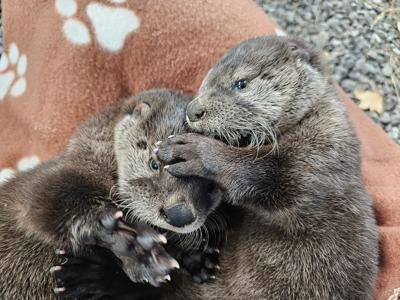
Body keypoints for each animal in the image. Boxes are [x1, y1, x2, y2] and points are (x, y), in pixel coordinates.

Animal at [0, 89, 223, 300]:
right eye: (154, 163)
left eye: (211, 186)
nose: (179, 215)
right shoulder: (61, 177)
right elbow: (52, 201)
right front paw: (131, 244)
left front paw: (198, 258)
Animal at [155, 37, 380, 300]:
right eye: (203, 83)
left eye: (241, 83)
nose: (193, 111)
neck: (309, 118)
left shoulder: (323, 154)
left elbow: (270, 175)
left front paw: (194, 151)